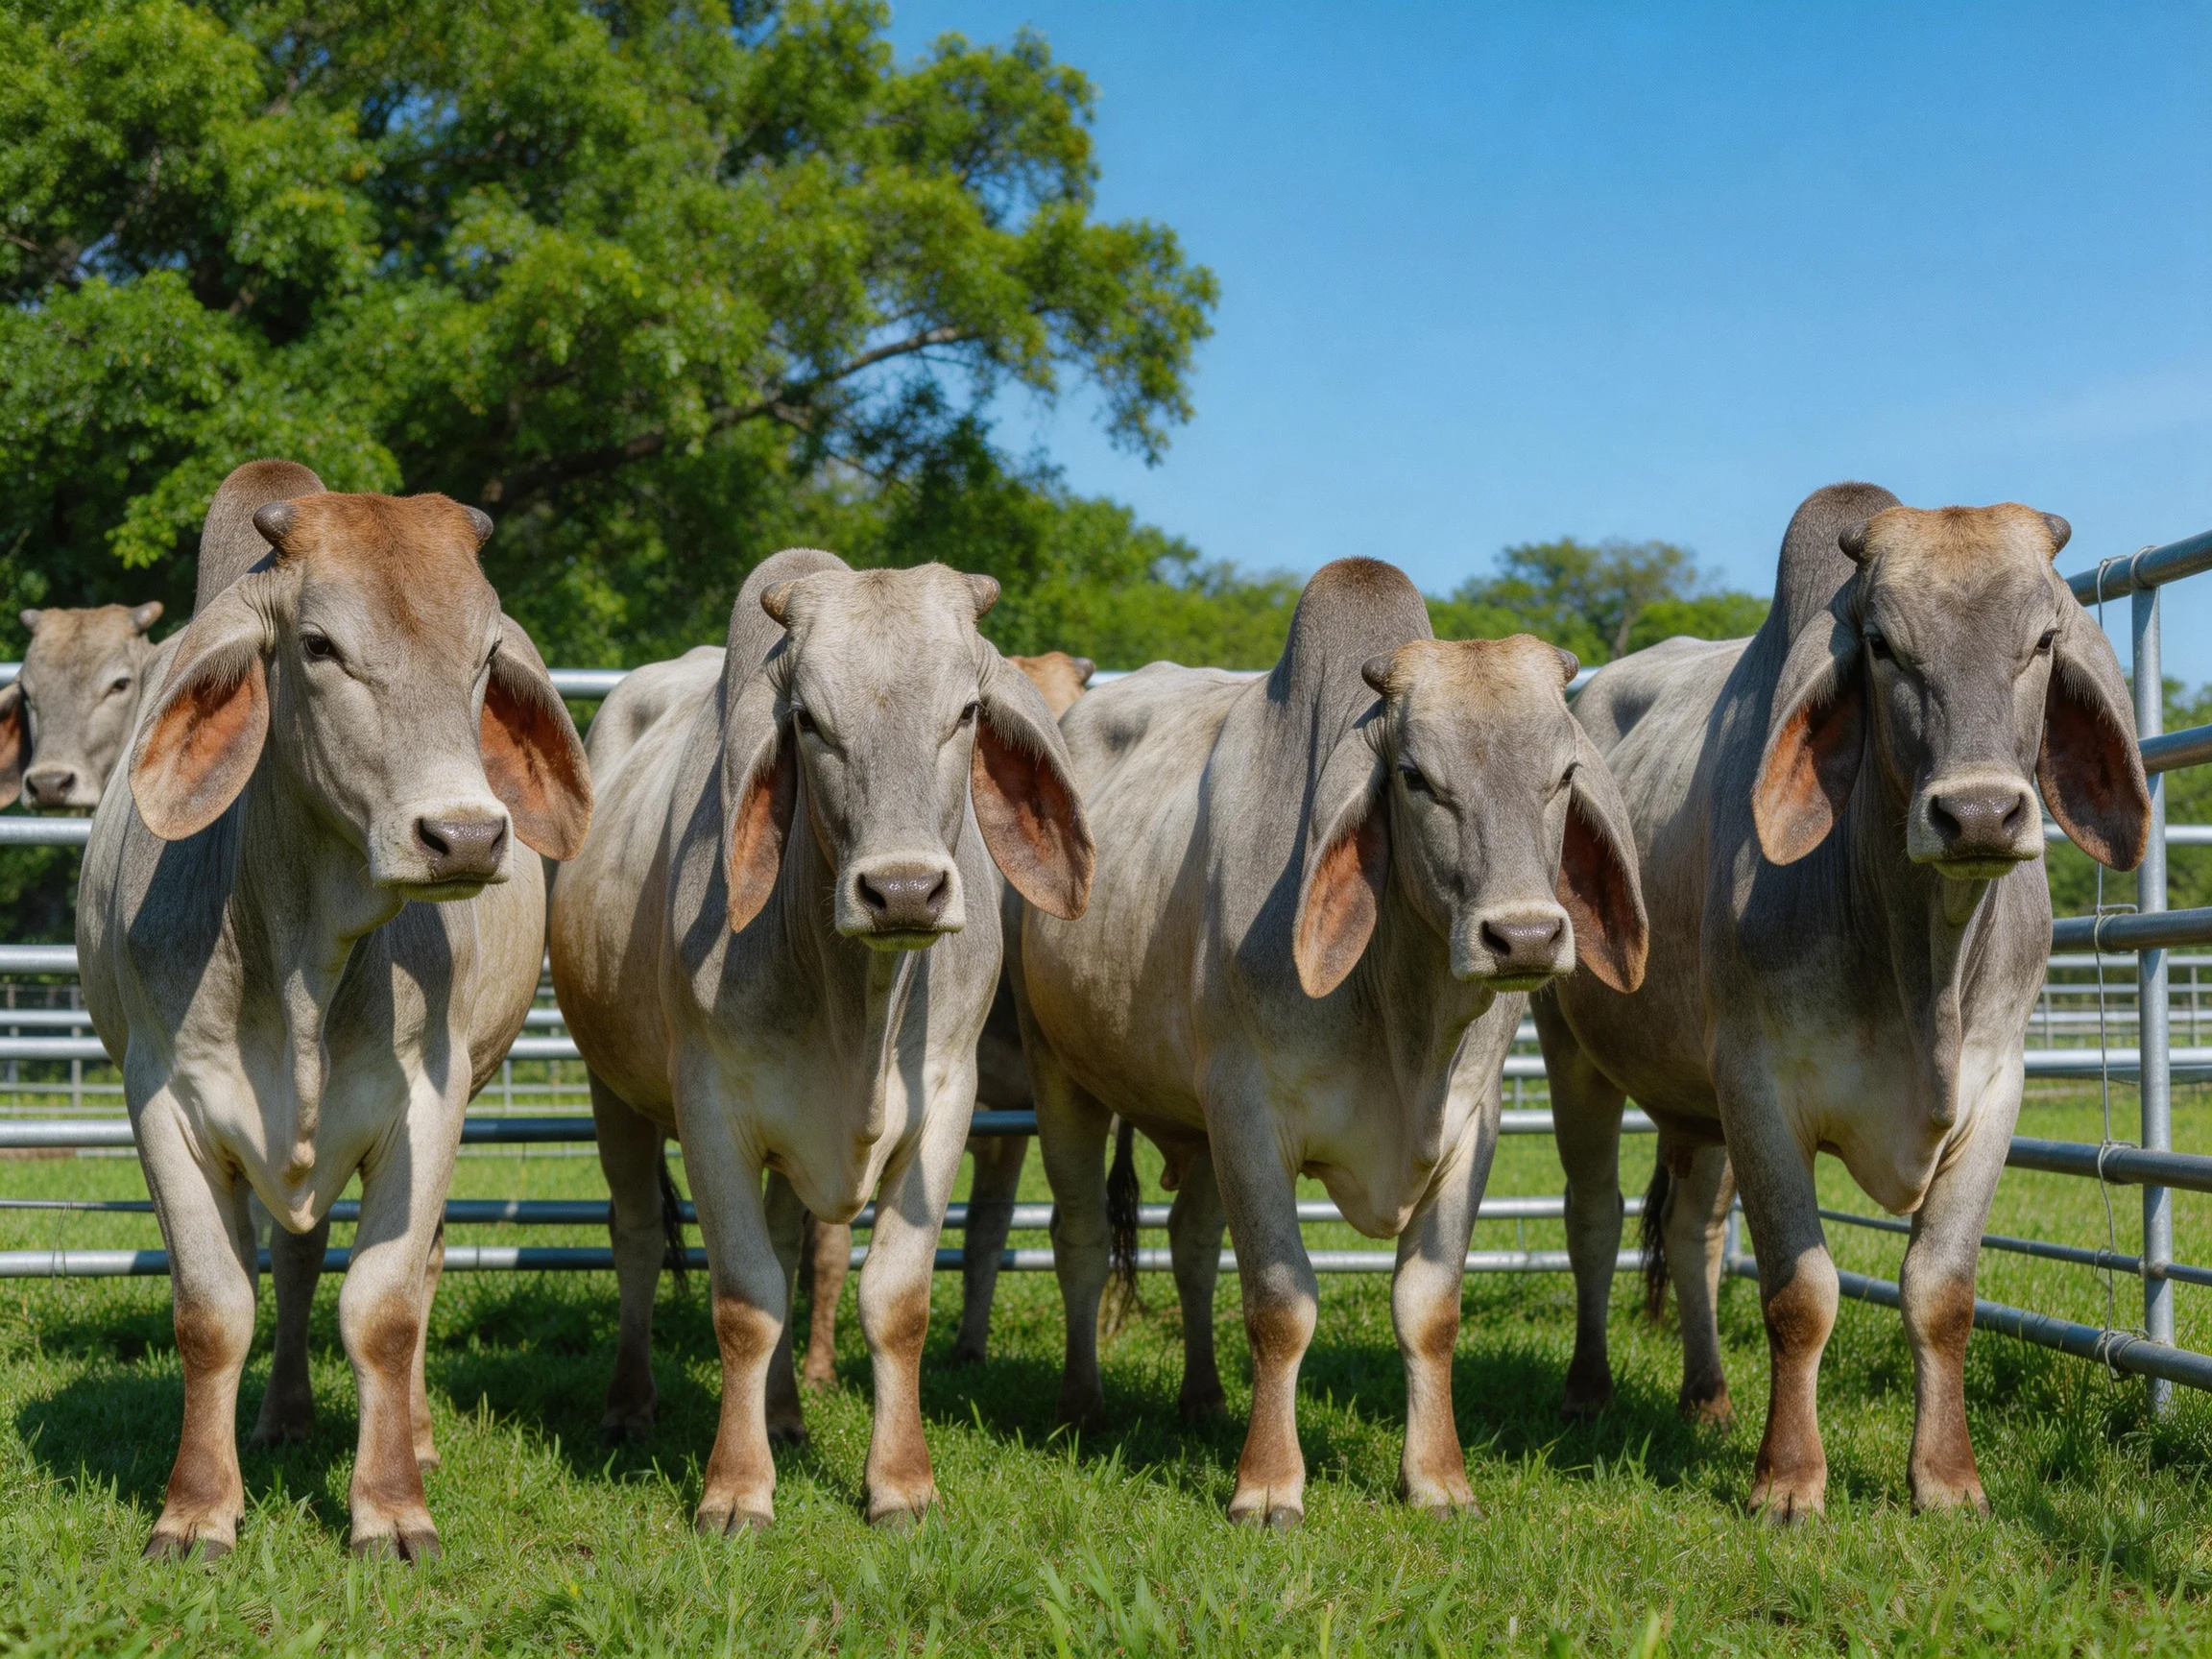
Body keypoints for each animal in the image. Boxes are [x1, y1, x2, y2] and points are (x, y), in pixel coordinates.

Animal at [78, 459, 592, 1560]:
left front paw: (392, 1505)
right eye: (317, 647)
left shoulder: (428, 1105)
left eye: (488, 654)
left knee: (409, 1270)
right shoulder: (163, 1103)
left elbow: (385, 1310)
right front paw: (196, 1508)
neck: (305, 955)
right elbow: (214, 1309)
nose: (465, 835)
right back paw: (279, 1418)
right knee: (293, 1255)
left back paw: (419, 1434)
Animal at [1012, 557, 1650, 1526]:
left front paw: (1439, 1478)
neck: (1402, 1021)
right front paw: (1268, 1484)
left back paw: (1204, 1399)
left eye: (1565, 773)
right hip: (1061, 1076)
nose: (1525, 937)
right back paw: (1082, 1404)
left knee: (1191, 1244)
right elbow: (1281, 1304)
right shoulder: (1248, 1114)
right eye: (1416, 778)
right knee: (1080, 1237)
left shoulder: (1472, 1125)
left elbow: (1429, 1306)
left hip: (1192, 1119)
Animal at [1535, 483, 2149, 1521]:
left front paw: (1948, 1479)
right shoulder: (1760, 1087)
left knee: (1696, 1237)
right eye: (1882, 645)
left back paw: (1708, 1396)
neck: (1920, 967)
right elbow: (1801, 1292)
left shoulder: (1995, 1089)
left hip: (1698, 1109)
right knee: (1594, 1218)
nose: (1978, 814)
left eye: (2042, 640)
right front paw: (1788, 1482)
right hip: (1571, 1051)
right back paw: (1585, 1389)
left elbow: (1940, 1290)